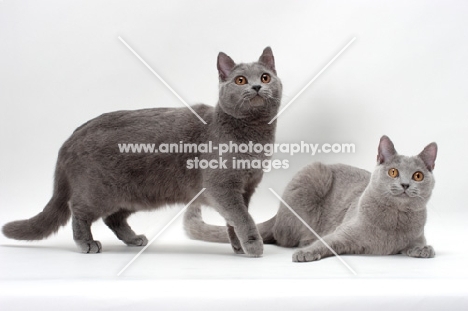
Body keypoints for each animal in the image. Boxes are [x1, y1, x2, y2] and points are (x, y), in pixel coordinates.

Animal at [2, 47, 282, 256]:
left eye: (265, 77)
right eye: (240, 80)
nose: (256, 87)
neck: (253, 135)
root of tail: (72, 136)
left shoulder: (246, 188)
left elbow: (235, 219)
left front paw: (238, 246)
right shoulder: (222, 186)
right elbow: (243, 218)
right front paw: (253, 245)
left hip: (133, 193)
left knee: (113, 218)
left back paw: (133, 238)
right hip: (99, 191)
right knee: (78, 210)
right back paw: (87, 243)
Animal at [185, 137, 436, 264]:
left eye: (418, 176)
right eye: (393, 172)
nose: (405, 185)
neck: (395, 220)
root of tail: (277, 214)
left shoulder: (416, 235)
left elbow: (418, 245)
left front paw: (424, 250)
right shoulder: (342, 234)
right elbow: (327, 243)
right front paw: (306, 254)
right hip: (315, 173)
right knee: (285, 236)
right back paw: (305, 241)